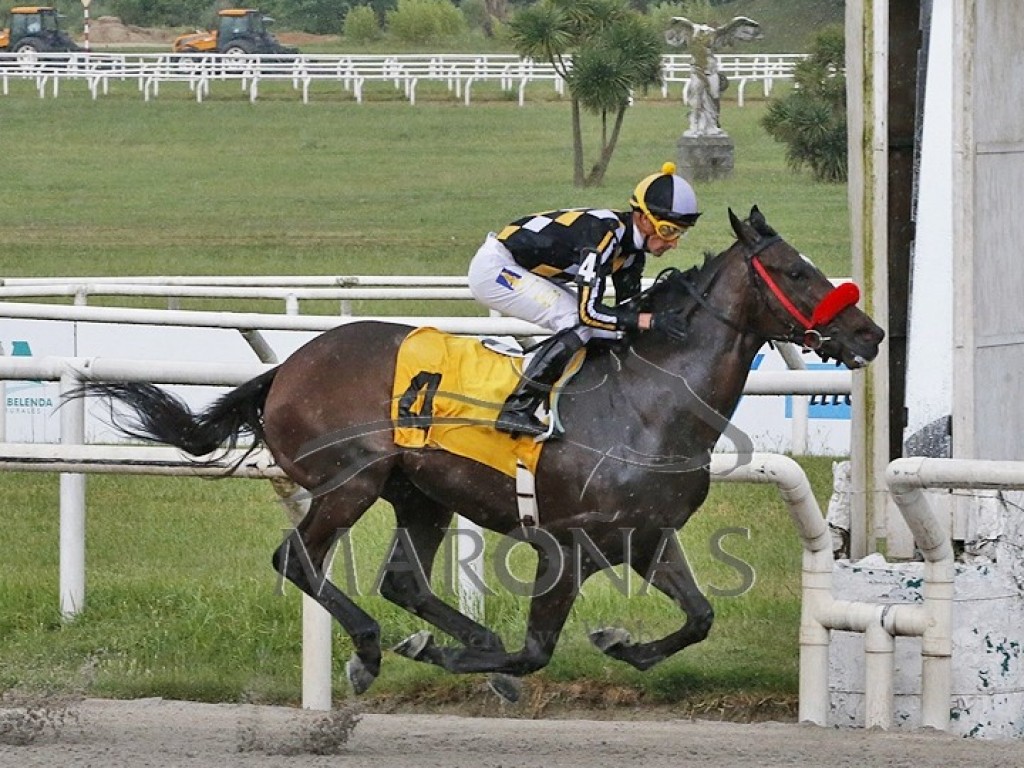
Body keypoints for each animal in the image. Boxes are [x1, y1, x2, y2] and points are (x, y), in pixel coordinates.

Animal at [72, 207, 884, 700]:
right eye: (799, 270)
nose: (870, 334)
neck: (654, 398)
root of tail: (291, 365)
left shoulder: (647, 537)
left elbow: (699, 618)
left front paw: (620, 643)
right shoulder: (571, 543)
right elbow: (536, 650)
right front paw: (460, 661)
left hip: (420, 494)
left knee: (402, 580)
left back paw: (435, 636)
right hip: (351, 481)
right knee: (298, 559)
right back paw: (372, 649)